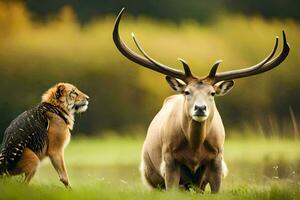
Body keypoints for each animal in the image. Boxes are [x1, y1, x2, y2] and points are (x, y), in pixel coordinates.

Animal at [112, 8, 288, 193]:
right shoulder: (168, 161)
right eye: (187, 92)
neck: (195, 151)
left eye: (213, 93)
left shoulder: (218, 161)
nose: (200, 108)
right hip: (150, 176)